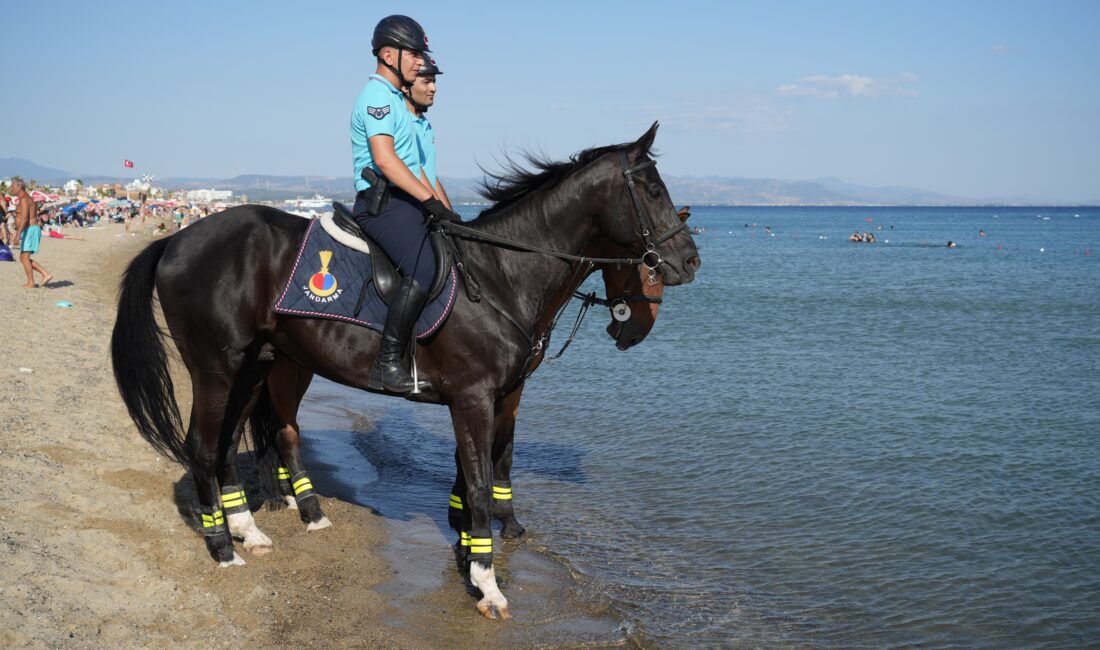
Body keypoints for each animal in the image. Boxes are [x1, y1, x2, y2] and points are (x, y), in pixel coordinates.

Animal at [111, 123, 695, 620]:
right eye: (652, 189)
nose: (689, 261)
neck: (502, 274)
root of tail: (176, 239)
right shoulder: (473, 398)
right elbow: (479, 482)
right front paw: (487, 583)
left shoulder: (498, 396)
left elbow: (482, 469)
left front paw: (470, 550)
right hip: (217, 366)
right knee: (204, 444)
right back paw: (221, 547)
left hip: (258, 365)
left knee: (235, 439)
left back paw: (251, 530)